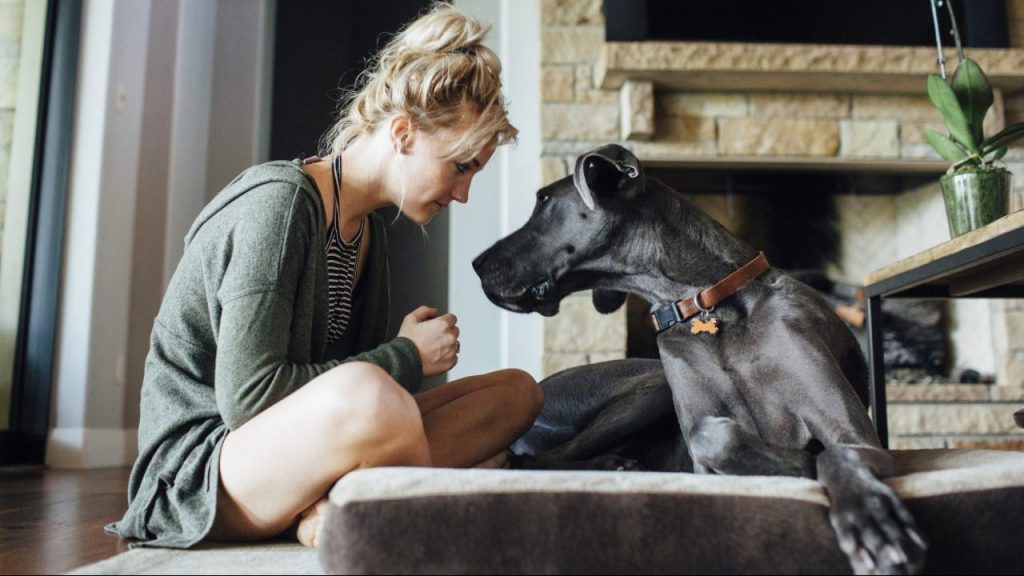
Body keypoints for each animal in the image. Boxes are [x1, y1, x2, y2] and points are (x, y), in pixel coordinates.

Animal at [471, 143, 929, 573]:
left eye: (544, 201)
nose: (475, 263)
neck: (709, 305)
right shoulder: (703, 462)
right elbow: (713, 436)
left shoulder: (857, 435)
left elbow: (835, 453)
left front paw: (869, 517)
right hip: (650, 387)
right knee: (529, 461)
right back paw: (615, 465)